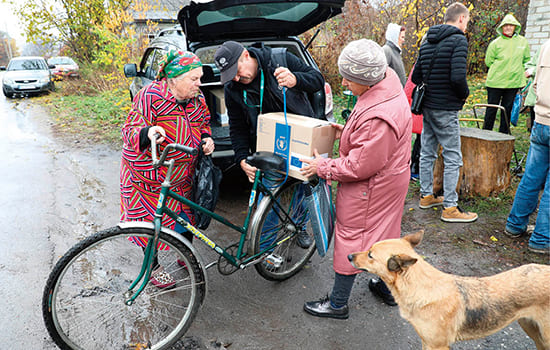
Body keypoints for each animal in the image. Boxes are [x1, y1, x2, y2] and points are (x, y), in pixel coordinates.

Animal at [352, 230, 548, 350]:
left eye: (370, 255)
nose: (349, 256)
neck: (420, 288)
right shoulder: (426, 342)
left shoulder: (438, 345)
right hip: (530, 327)